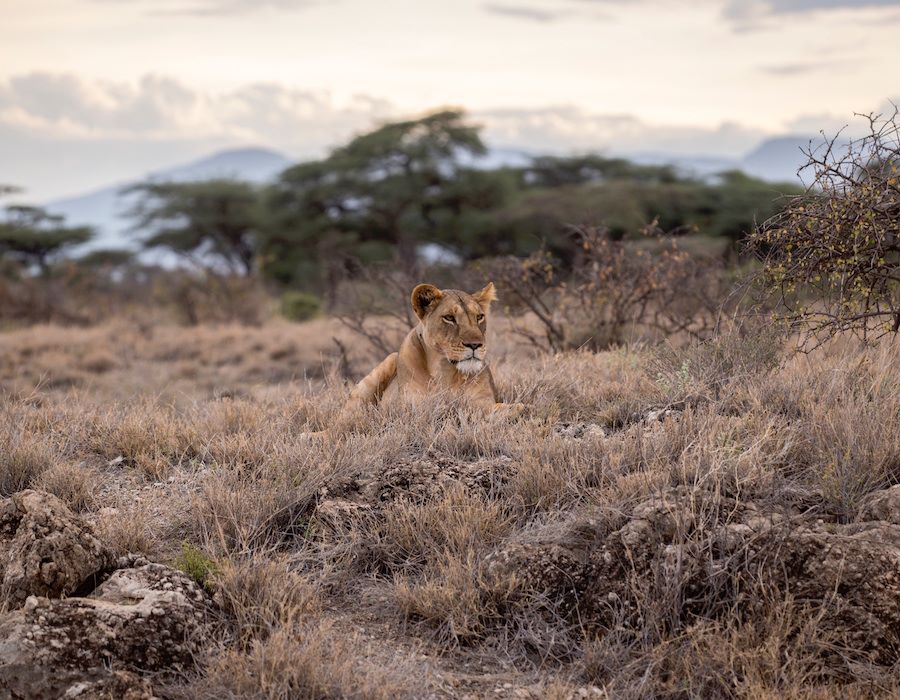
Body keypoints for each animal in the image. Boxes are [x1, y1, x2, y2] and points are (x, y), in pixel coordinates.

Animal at [311, 281, 523, 436]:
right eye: (449, 318)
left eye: (479, 317)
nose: (475, 345)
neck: (446, 370)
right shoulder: (415, 411)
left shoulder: (482, 402)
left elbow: (509, 408)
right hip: (380, 370)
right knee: (340, 426)